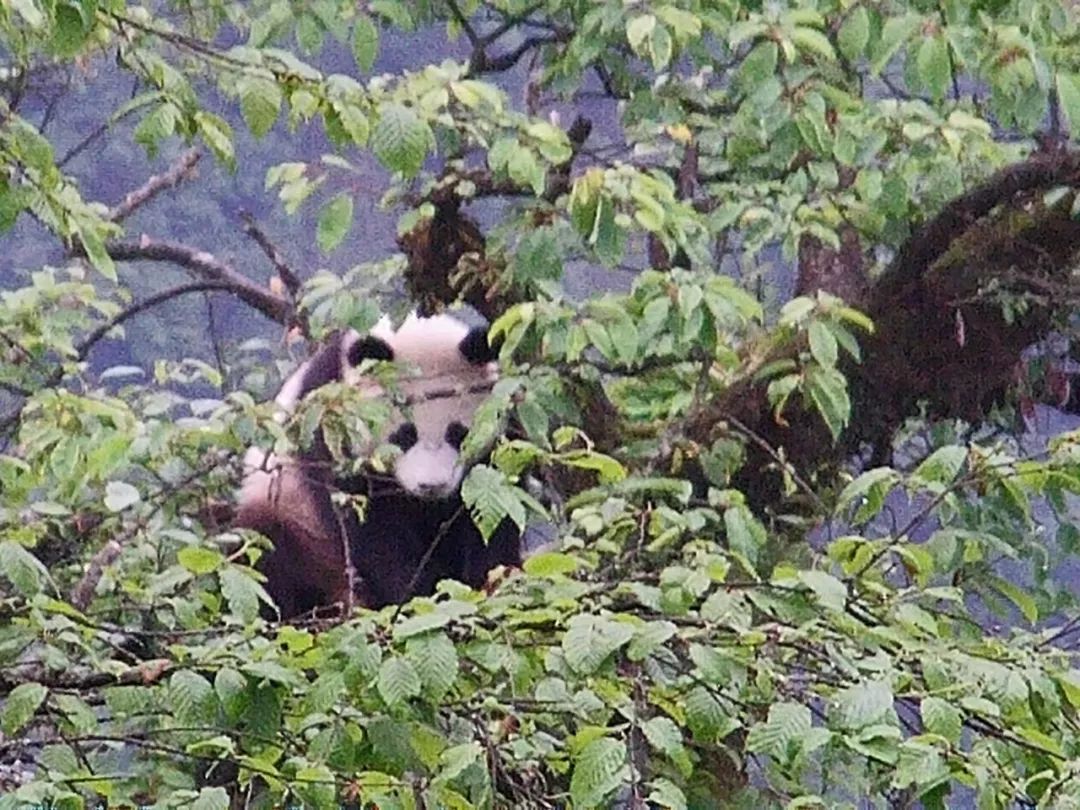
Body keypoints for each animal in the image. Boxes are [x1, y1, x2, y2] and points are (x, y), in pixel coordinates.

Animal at [237, 313, 522, 617]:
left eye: (458, 434)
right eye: (404, 436)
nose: (432, 486)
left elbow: (493, 517)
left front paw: (489, 583)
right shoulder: (329, 433)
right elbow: (372, 532)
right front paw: (417, 594)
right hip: (292, 521)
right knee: (266, 556)